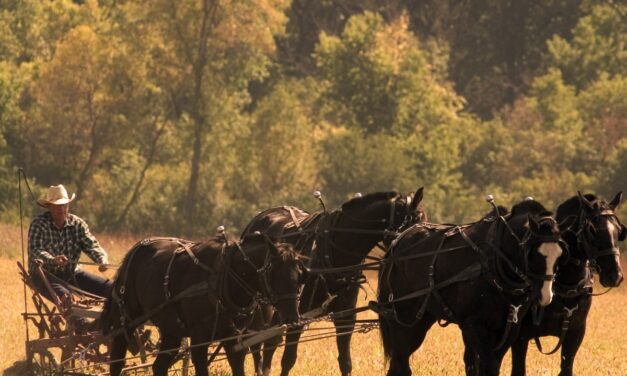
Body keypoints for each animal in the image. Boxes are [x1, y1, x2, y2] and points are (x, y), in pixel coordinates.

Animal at [100, 234, 306, 376]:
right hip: (126, 319)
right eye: (275, 272)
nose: (293, 317)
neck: (224, 279)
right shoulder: (200, 339)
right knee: (117, 360)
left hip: (172, 330)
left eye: (299, 274)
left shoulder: (234, 340)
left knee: (159, 366)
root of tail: (135, 250)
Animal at [240, 188, 426, 376]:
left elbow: (345, 362)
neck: (332, 253)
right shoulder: (297, 317)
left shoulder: (345, 318)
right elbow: (288, 360)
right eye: (413, 224)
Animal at [380, 198, 568, 374]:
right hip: (402, 321)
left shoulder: (510, 327)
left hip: (422, 319)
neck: (492, 261)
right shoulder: (473, 325)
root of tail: (397, 242)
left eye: (560, 254)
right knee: (400, 365)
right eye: (533, 254)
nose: (546, 296)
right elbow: (489, 366)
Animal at [510, 192, 624, 374]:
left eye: (619, 229)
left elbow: (566, 368)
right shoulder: (520, 337)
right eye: (592, 230)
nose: (615, 275)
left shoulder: (574, 334)